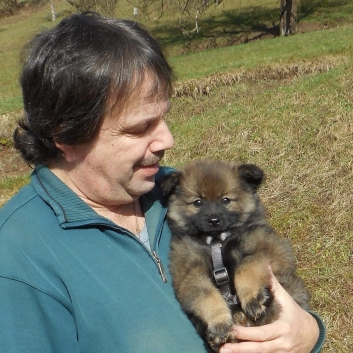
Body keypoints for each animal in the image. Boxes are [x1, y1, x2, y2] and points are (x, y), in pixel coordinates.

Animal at [161, 160, 310, 350]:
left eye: (226, 200)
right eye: (198, 202)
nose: (214, 220)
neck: (216, 240)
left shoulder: (271, 250)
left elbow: (246, 266)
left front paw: (252, 297)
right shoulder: (189, 274)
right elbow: (206, 295)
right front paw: (219, 323)